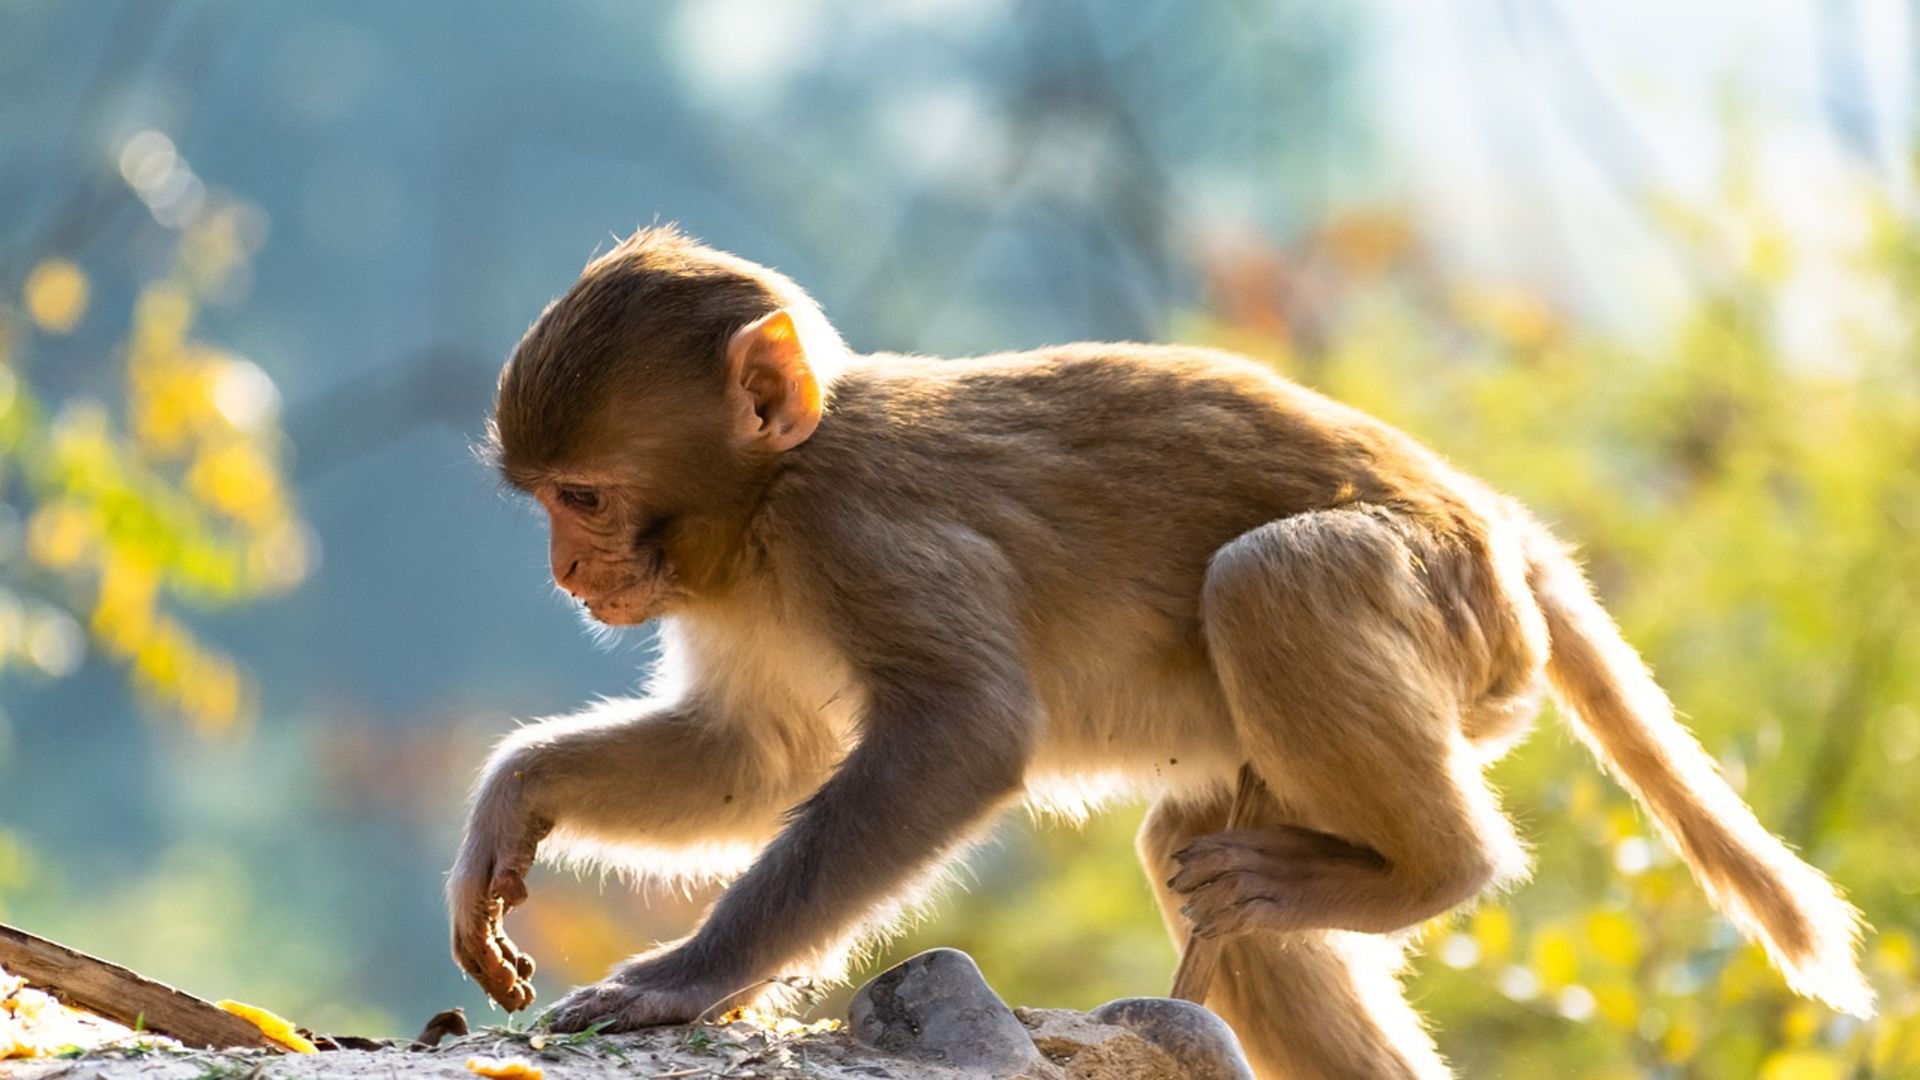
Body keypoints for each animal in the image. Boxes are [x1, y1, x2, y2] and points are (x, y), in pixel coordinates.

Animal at [445, 222, 1858, 1068]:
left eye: (583, 497)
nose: (568, 570)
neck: (772, 501)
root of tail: (1498, 528)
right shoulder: (738, 592)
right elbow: (757, 755)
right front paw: (513, 807)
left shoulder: (863, 533)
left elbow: (963, 739)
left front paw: (692, 976)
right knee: (1205, 859)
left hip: (1450, 615)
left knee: (1276, 578)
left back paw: (1439, 868)